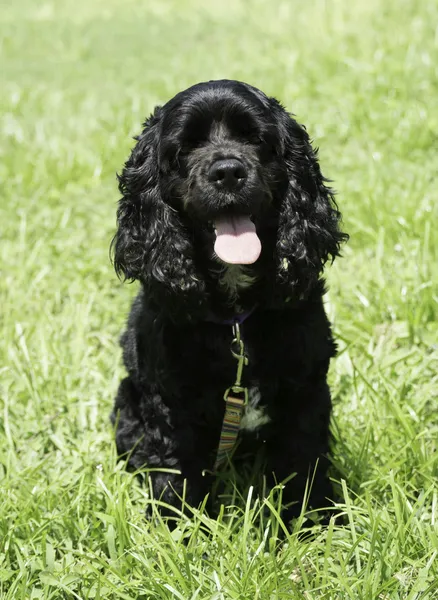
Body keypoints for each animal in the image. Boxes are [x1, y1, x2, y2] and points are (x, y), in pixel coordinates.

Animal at [111, 79, 348, 524]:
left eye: (254, 138)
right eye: (186, 146)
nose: (228, 172)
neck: (236, 317)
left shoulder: (305, 390)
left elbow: (304, 461)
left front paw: (315, 522)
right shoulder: (168, 404)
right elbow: (174, 470)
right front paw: (175, 529)